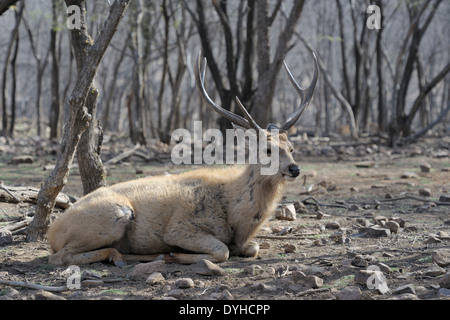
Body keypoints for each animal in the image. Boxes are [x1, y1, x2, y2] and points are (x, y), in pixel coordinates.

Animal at [47, 52, 318, 264]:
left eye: (291, 147)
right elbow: (222, 250)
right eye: (268, 149)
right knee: (60, 256)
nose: (295, 169)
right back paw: (125, 256)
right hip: (116, 214)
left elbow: (253, 247)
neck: (235, 213)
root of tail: (52, 232)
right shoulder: (180, 227)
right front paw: (177, 254)